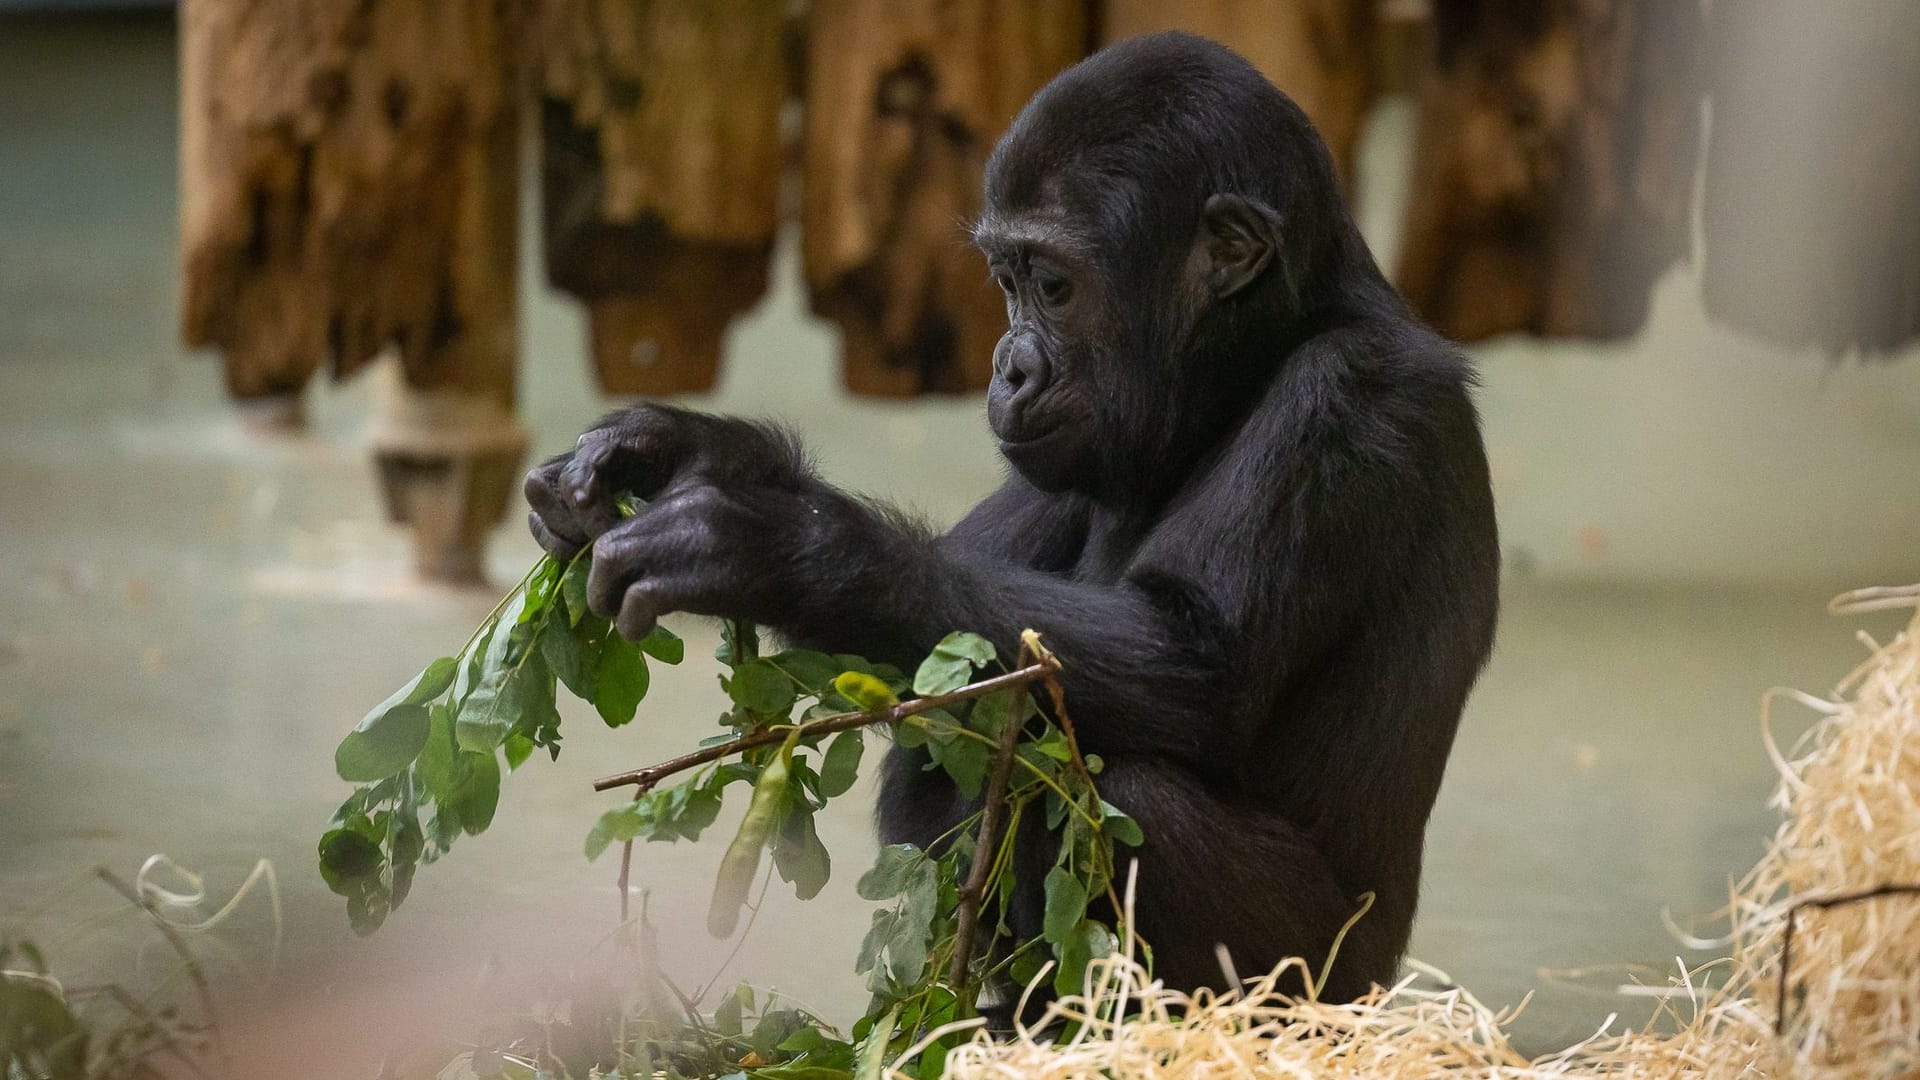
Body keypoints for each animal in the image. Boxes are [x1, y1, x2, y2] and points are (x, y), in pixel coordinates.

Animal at [526, 31, 1497, 999]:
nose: (1011, 366)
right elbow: (962, 586)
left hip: (1325, 982)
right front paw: (680, 451)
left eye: (1055, 286)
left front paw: (771, 546)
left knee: (1130, 792)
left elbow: (1196, 659)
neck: (1265, 349)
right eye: (1007, 279)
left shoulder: (1348, 399)